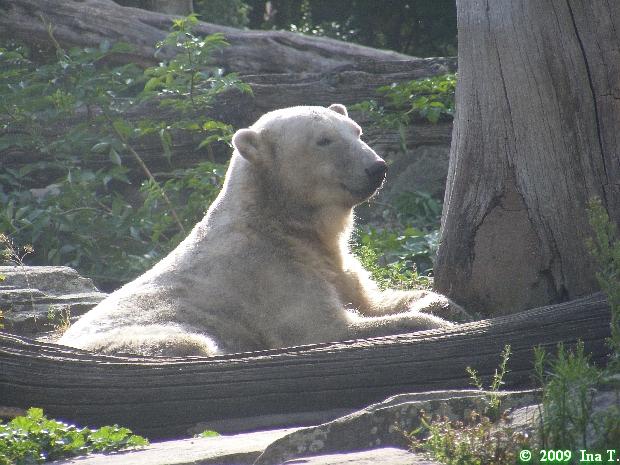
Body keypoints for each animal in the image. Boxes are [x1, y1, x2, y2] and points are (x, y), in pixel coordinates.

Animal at [58, 104, 467, 357]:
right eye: (324, 140)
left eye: (356, 131)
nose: (377, 167)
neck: (276, 222)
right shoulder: (268, 273)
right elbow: (330, 327)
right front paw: (432, 322)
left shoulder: (334, 262)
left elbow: (369, 298)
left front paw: (443, 303)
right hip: (142, 338)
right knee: (191, 343)